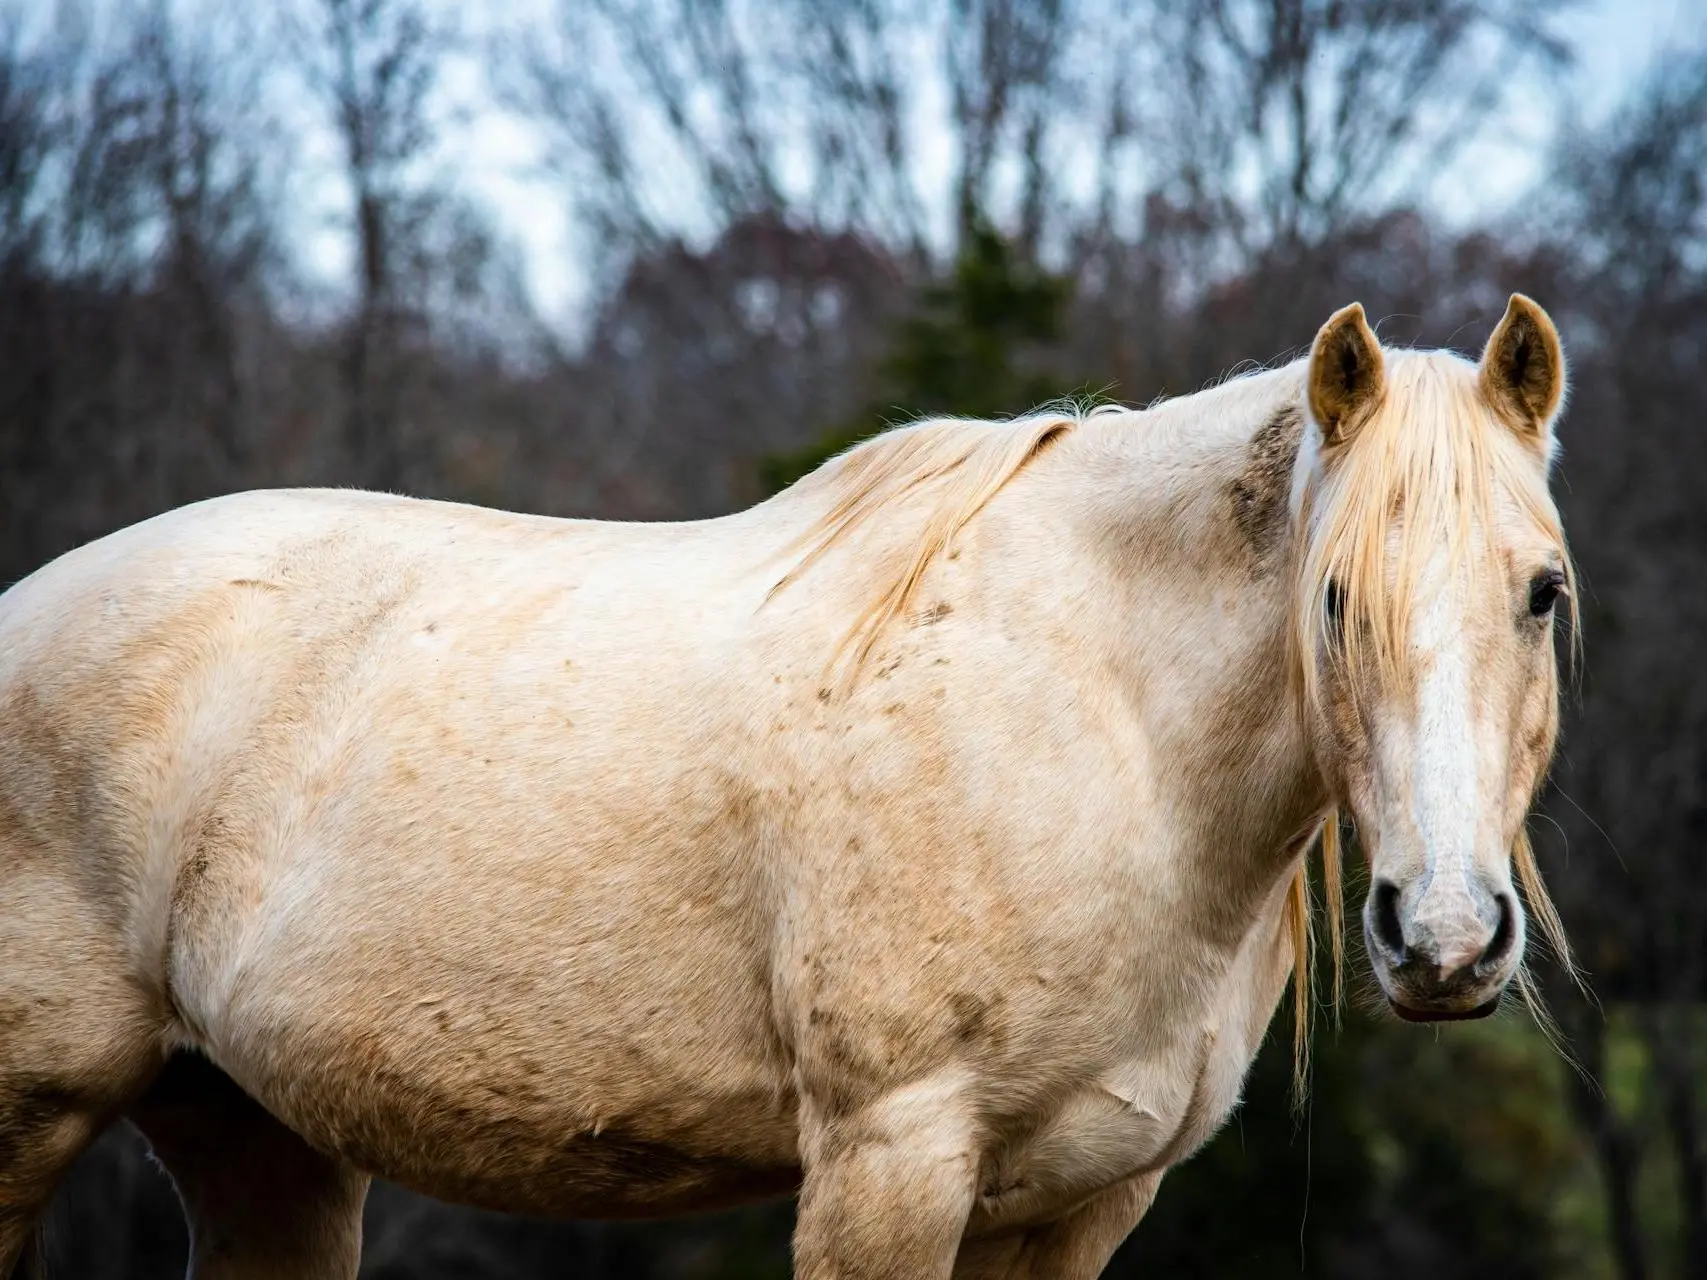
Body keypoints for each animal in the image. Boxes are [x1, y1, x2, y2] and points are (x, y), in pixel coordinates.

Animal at [0, 295, 1570, 1276]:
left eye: (1542, 591)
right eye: (1333, 600)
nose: (1442, 937)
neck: (1103, 714)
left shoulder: (1077, 1206)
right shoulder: (890, 1163)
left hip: (258, 1139)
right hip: (38, 1112)